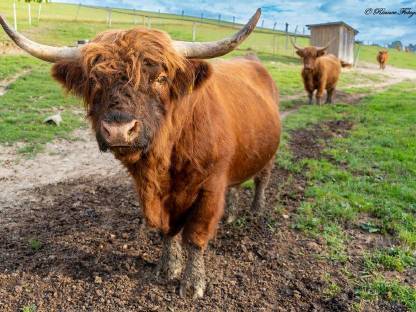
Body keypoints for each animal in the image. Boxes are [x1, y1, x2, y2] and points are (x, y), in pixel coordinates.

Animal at [1, 8, 282, 298]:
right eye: (94, 80)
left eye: (160, 79)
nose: (119, 129)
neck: (165, 162)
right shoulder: (154, 193)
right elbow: (167, 230)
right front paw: (167, 268)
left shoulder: (211, 187)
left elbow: (195, 236)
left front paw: (193, 284)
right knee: (236, 184)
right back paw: (231, 214)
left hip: (269, 153)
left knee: (262, 179)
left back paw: (256, 210)